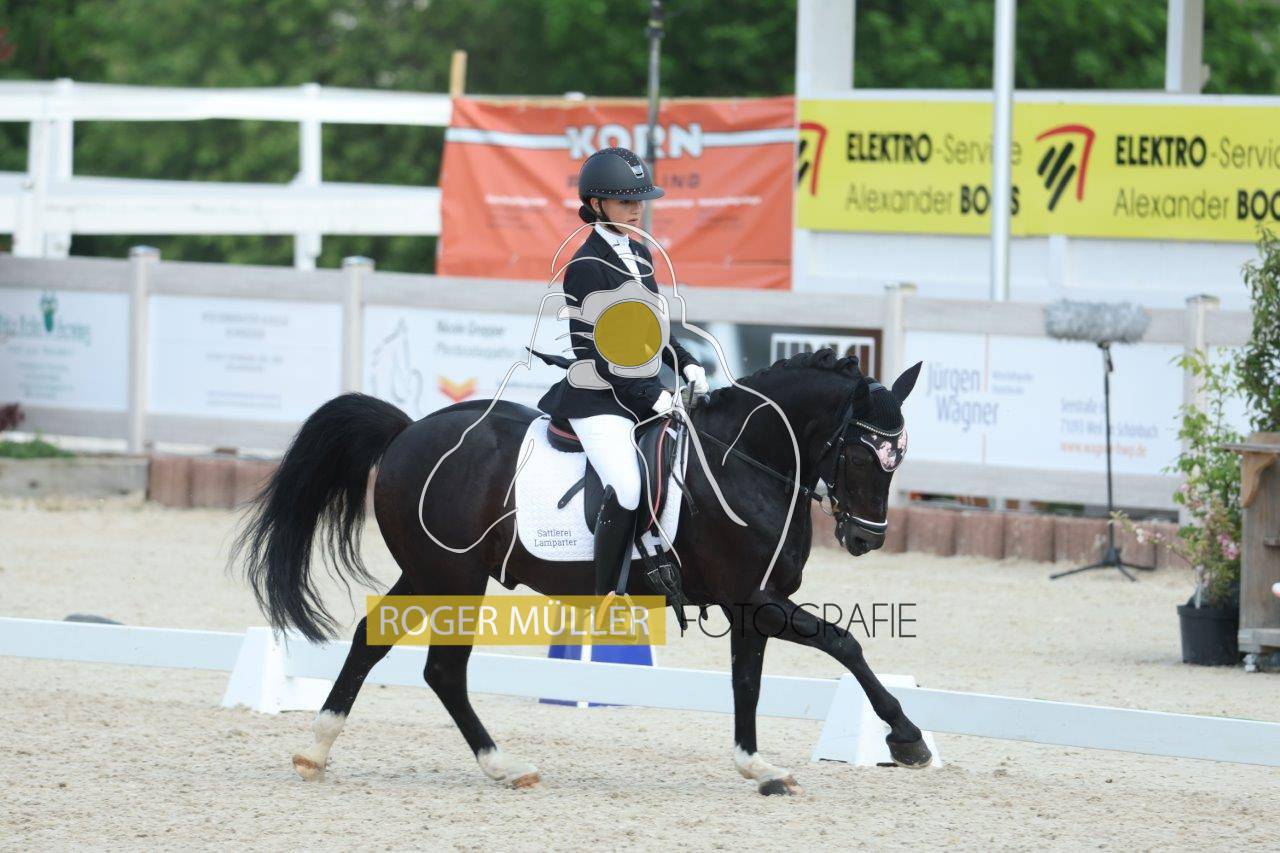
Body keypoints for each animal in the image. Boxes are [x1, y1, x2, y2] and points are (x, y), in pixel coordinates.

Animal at [232, 347, 929, 795]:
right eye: (864, 457)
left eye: (899, 460)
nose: (866, 539)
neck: (743, 464)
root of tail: (408, 431)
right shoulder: (755, 599)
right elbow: (845, 643)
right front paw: (906, 738)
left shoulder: (750, 605)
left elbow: (749, 683)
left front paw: (759, 768)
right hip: (452, 577)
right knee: (441, 669)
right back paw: (501, 765)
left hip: (433, 574)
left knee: (381, 644)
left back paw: (320, 750)